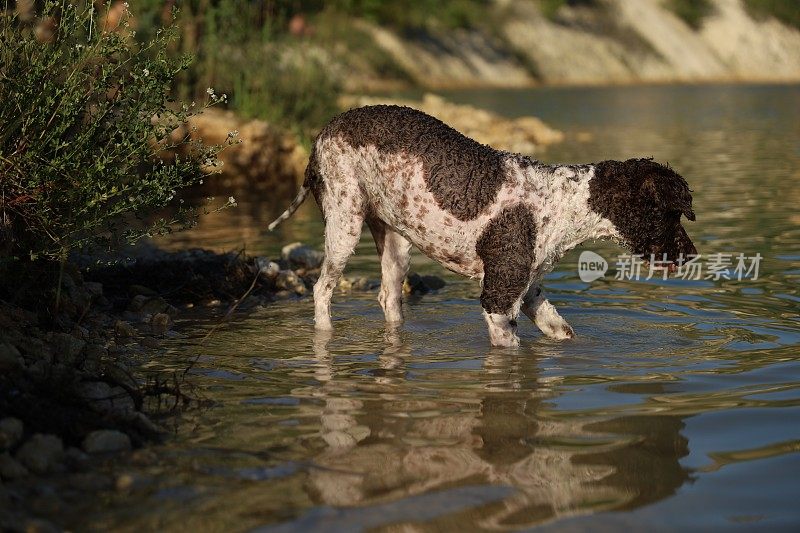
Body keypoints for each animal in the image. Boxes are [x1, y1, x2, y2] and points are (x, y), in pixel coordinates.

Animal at [268, 106, 692, 348]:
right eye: (670, 213)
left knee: (388, 299)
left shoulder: (529, 292)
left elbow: (564, 332)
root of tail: (324, 132)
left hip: (396, 242)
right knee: (321, 290)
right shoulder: (498, 300)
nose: (692, 255)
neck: (561, 203)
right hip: (344, 225)